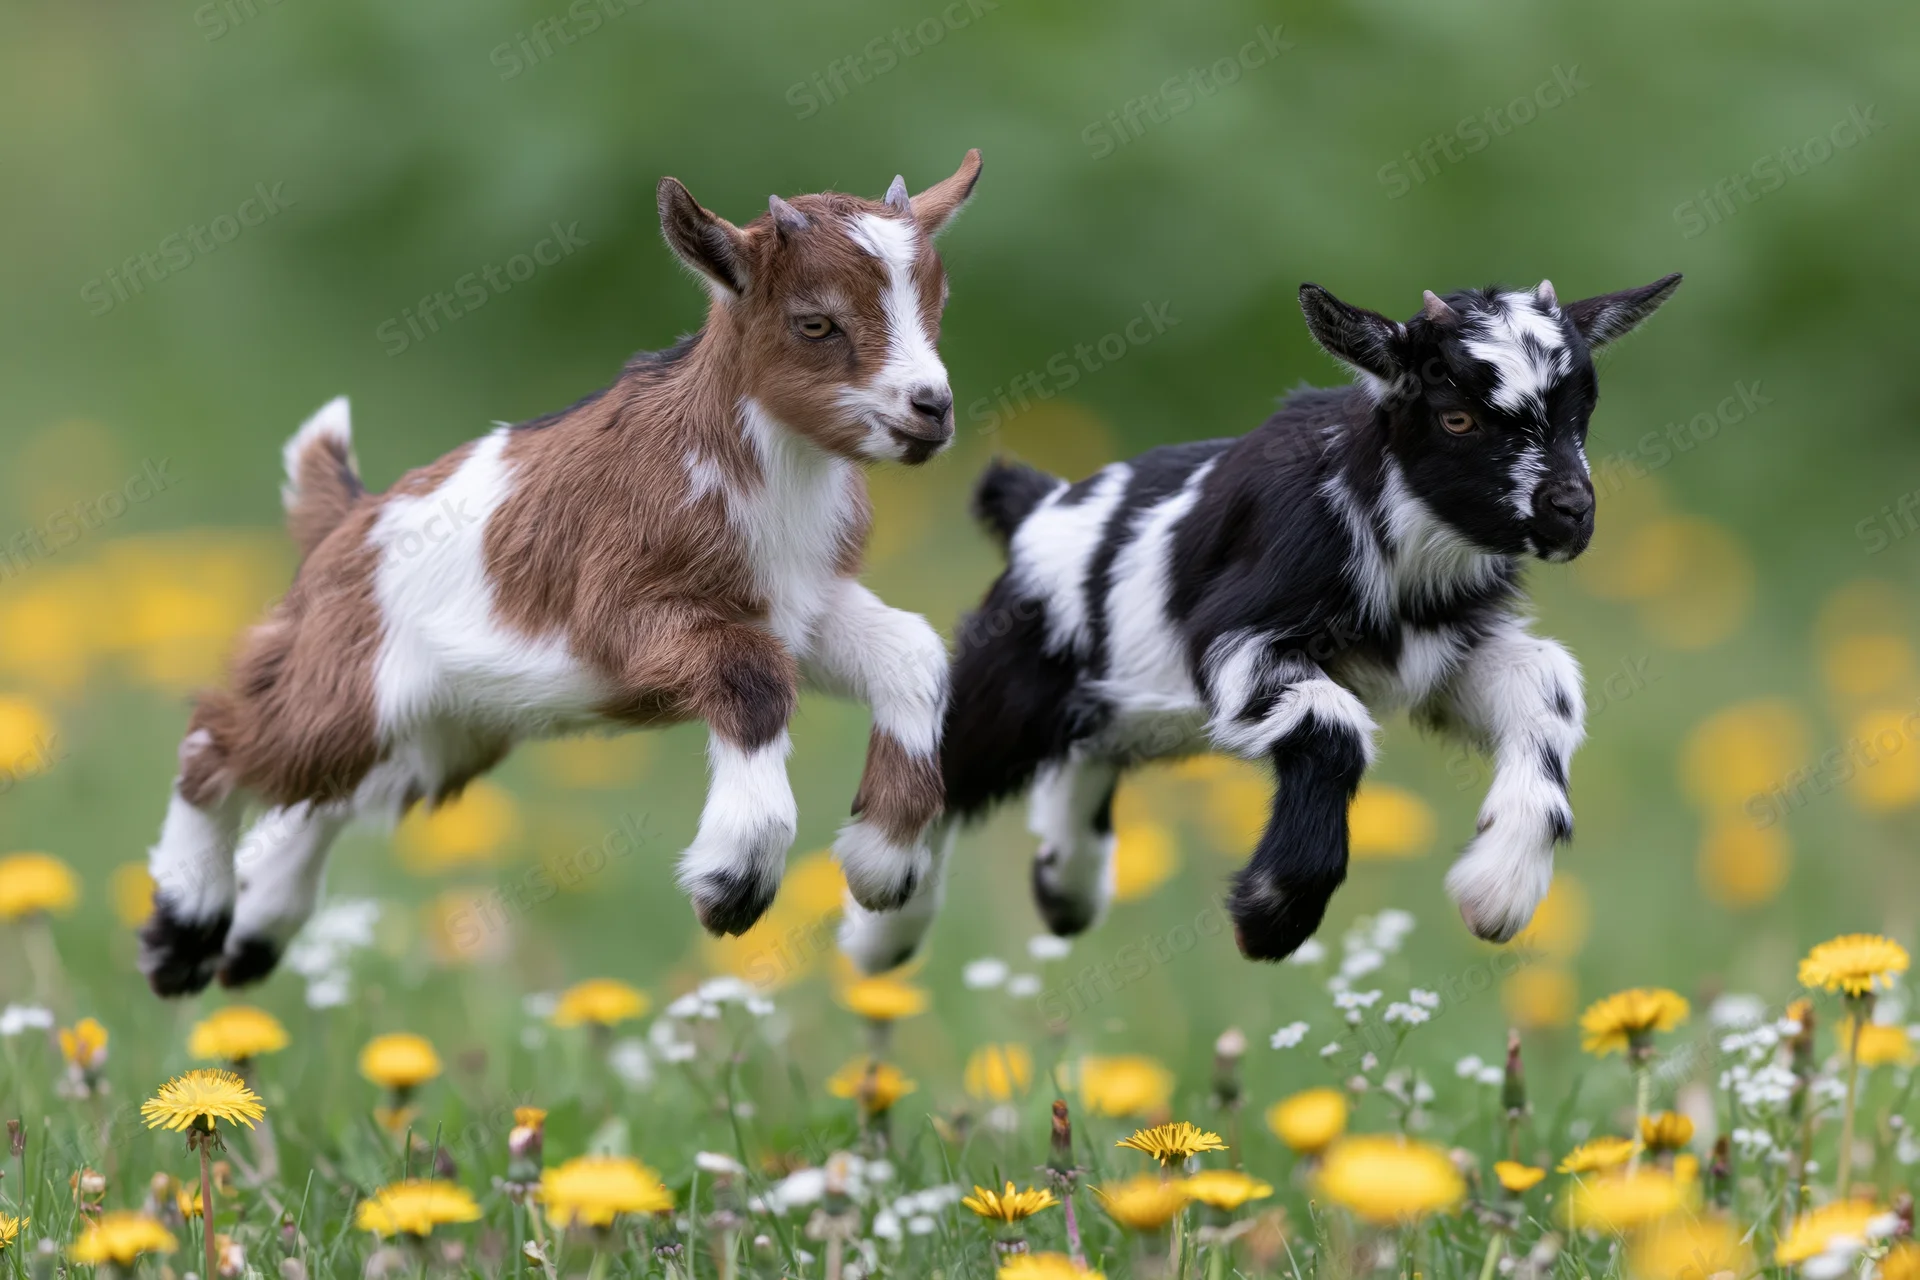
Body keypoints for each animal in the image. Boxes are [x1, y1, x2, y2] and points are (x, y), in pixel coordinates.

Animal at [139, 153, 983, 996]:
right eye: (816, 322)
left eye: (938, 302)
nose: (932, 408)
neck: (753, 469)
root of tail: (346, 517)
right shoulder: (620, 609)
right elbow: (752, 677)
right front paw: (733, 881)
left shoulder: (803, 606)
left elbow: (910, 650)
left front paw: (883, 872)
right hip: (353, 681)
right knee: (216, 739)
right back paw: (184, 932)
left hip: (446, 729)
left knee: (324, 799)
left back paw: (254, 931)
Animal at [840, 273, 1681, 973]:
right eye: (1458, 418)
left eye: (1581, 414)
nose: (1571, 514)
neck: (1393, 531)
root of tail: (1038, 508)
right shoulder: (1244, 638)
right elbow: (1334, 728)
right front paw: (1273, 917)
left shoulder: (1444, 654)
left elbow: (1548, 688)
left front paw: (1498, 889)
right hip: (1017, 671)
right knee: (951, 763)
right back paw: (882, 919)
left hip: (1123, 704)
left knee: (1086, 754)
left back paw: (1065, 887)